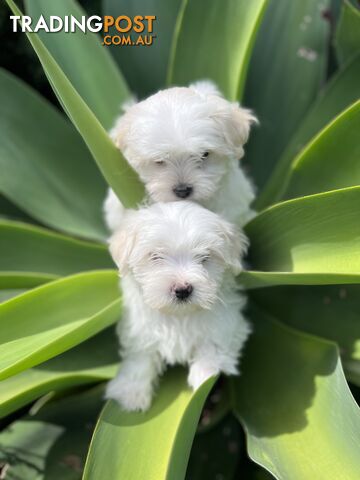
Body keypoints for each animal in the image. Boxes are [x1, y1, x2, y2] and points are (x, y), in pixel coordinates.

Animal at [106, 202, 250, 412]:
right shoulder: (139, 329)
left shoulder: (228, 322)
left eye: (204, 257)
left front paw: (204, 374)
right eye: (155, 256)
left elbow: (214, 343)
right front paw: (131, 393)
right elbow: (140, 357)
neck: (178, 315)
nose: (182, 289)